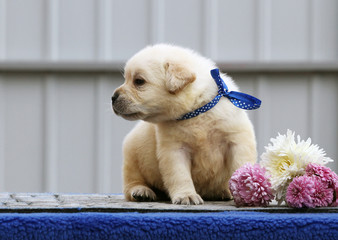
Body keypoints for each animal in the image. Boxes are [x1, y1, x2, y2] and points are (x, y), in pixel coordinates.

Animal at [112, 44, 258, 205]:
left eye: (139, 81)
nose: (113, 97)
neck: (196, 111)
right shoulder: (175, 150)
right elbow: (180, 175)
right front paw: (186, 195)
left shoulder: (237, 142)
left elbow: (240, 167)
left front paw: (247, 191)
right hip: (132, 155)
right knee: (131, 182)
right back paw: (141, 191)